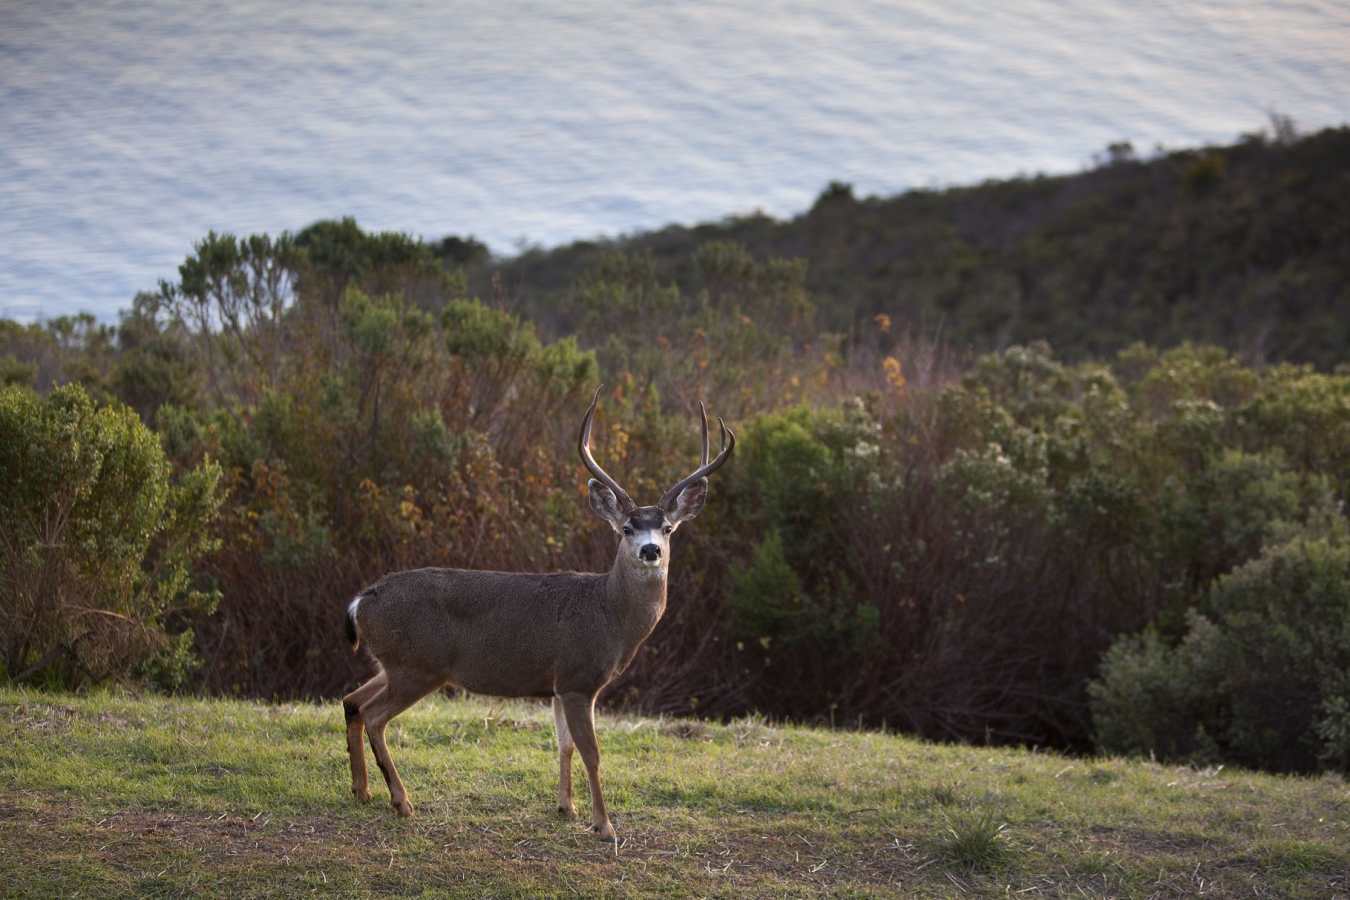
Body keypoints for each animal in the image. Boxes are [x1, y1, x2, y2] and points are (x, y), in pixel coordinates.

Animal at [341, 387, 735, 842]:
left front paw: (567, 806)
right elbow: (592, 752)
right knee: (374, 716)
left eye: (668, 528)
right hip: (417, 666)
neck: (610, 615)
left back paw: (362, 791)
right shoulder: (580, 678)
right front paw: (605, 825)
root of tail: (361, 601)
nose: (650, 550)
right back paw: (402, 801)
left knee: (352, 701)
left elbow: (564, 744)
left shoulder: (558, 686)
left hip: (394, 663)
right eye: (626, 529)